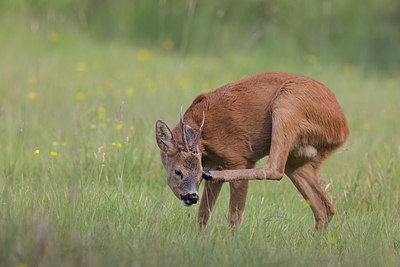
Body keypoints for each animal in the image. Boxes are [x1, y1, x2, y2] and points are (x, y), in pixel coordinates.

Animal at [155, 72, 348, 231]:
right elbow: (203, 214)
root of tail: (343, 127)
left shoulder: (238, 157)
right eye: (178, 171)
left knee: (274, 169)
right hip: (299, 161)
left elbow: (234, 217)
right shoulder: (214, 163)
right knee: (324, 209)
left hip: (287, 106)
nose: (191, 197)